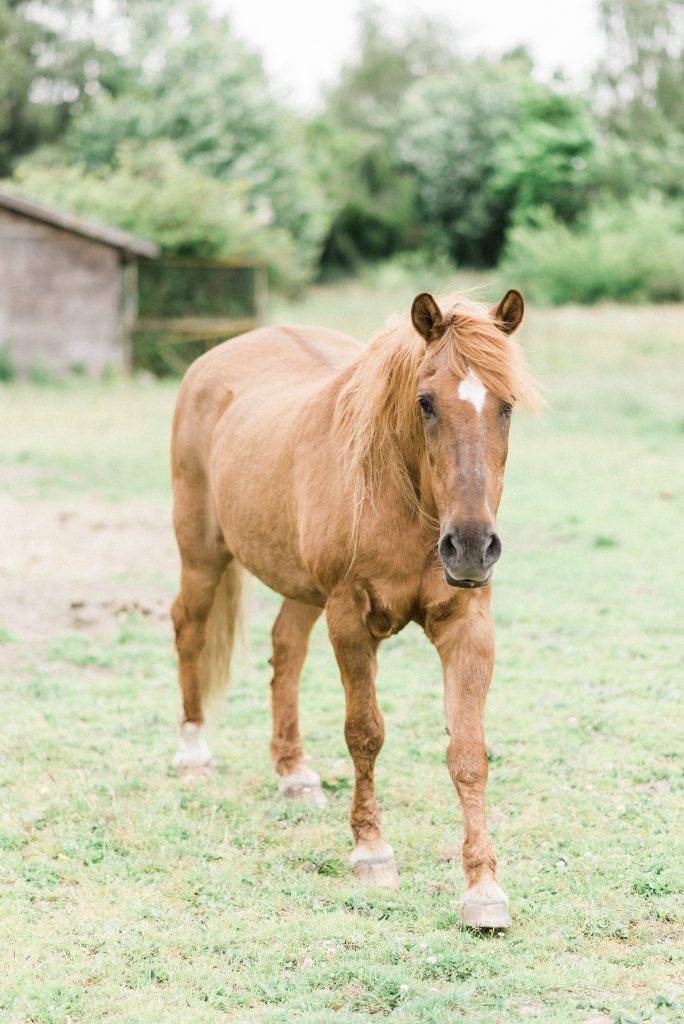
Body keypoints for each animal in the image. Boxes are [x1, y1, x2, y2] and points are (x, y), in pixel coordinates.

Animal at [169, 286, 540, 929]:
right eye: (425, 403)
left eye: (507, 406)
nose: (471, 545)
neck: (407, 502)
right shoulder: (349, 620)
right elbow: (364, 733)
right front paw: (372, 852)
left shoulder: (468, 627)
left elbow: (468, 751)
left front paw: (483, 888)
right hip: (202, 555)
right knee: (188, 627)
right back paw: (194, 753)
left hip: (298, 587)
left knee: (285, 650)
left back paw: (293, 773)